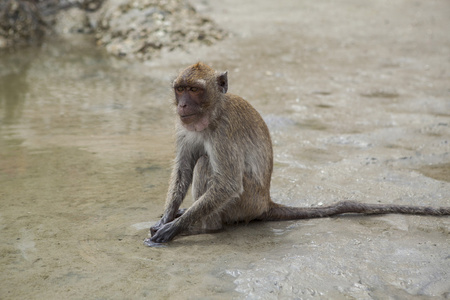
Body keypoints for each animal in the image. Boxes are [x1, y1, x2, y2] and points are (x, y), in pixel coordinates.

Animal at [144, 61, 450, 246]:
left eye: (194, 90)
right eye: (180, 89)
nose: (183, 105)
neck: (211, 115)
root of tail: (266, 202)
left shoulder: (224, 132)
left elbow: (228, 183)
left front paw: (173, 227)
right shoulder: (183, 127)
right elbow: (183, 170)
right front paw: (167, 218)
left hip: (246, 203)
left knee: (209, 165)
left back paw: (205, 227)